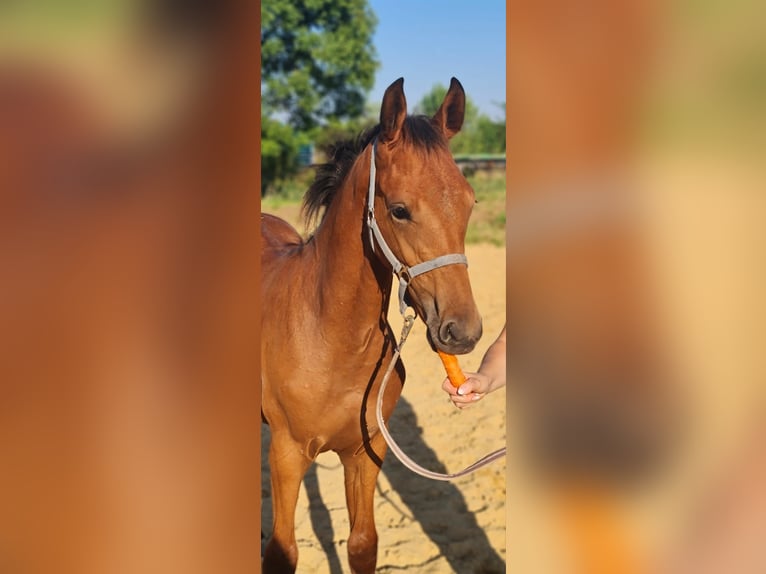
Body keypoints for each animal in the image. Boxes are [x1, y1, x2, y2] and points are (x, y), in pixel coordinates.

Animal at [260, 77, 484, 574]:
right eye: (399, 210)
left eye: (469, 202)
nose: (462, 333)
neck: (330, 338)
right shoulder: (285, 454)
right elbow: (282, 551)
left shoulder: (366, 452)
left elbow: (362, 544)